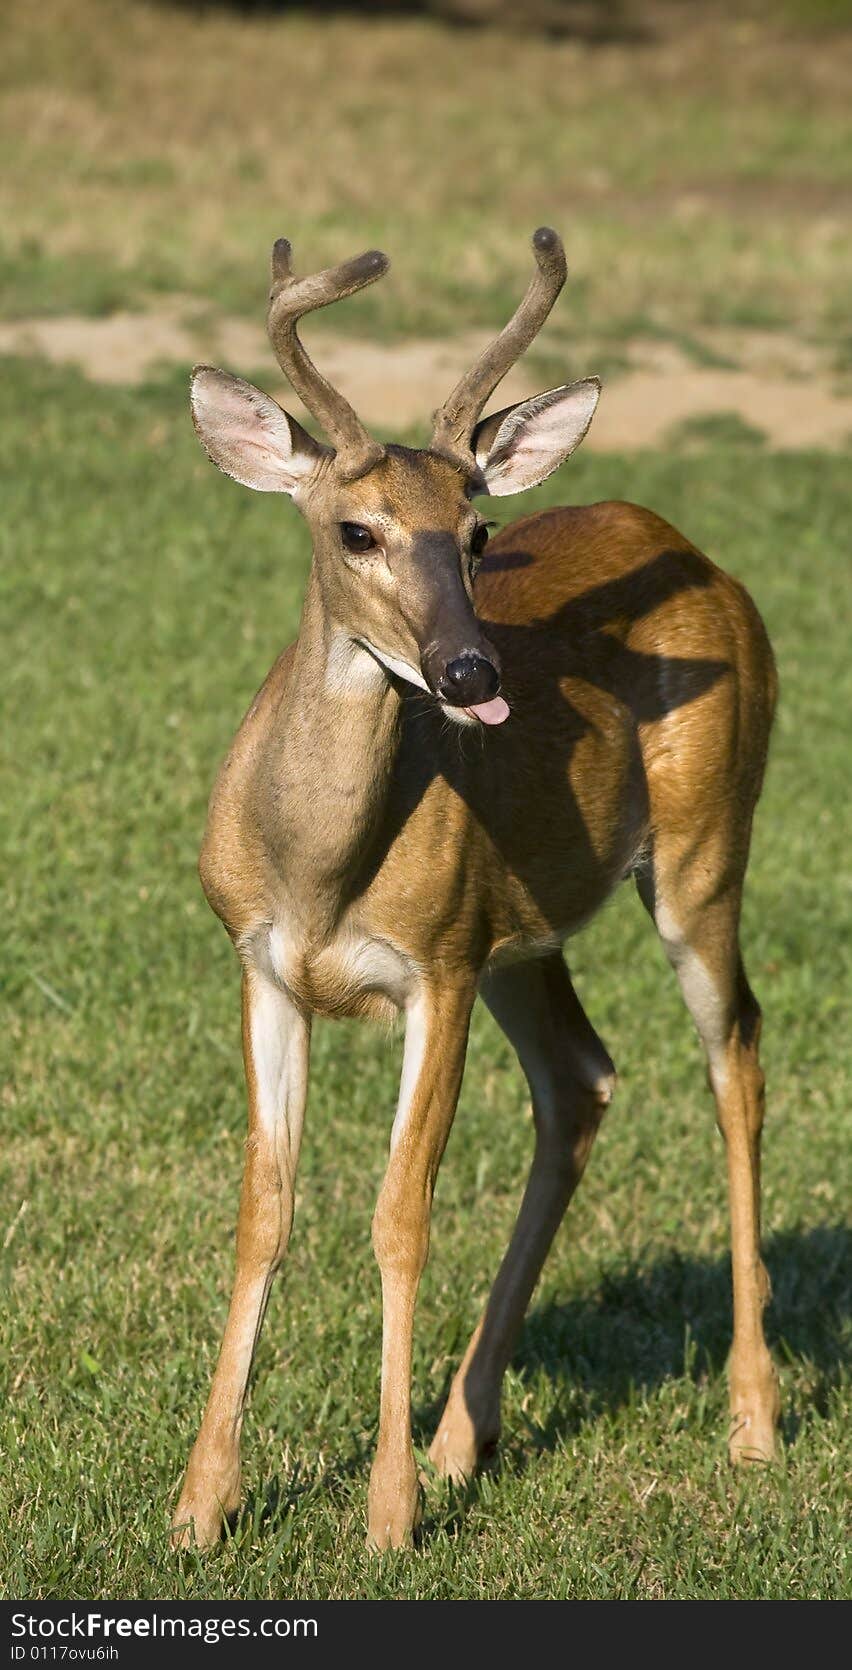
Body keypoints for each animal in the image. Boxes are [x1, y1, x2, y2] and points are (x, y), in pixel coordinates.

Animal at [171, 225, 778, 1549]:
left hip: (704, 849)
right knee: (583, 1075)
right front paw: (201, 1501)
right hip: (526, 931)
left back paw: (752, 1418)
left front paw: (387, 1510)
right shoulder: (260, 963)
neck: (323, 873)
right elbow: (264, 1208)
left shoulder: (435, 965)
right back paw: (466, 1432)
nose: (468, 669)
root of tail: (709, 563)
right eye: (356, 530)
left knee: (737, 1056)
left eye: (480, 532)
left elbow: (400, 1215)